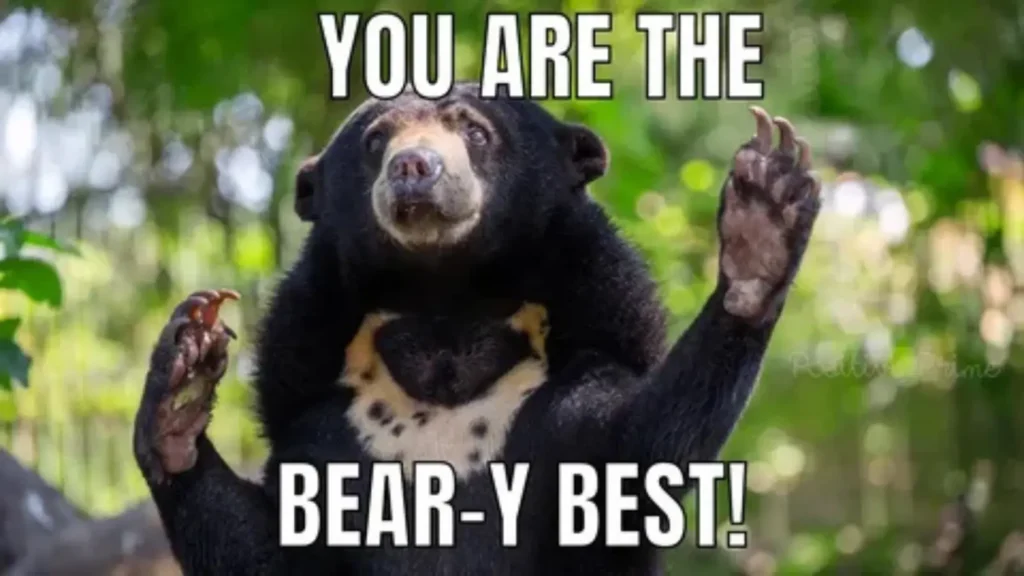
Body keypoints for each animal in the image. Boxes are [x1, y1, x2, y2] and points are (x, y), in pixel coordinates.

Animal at [132, 82, 820, 575]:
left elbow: (642, 446)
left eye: (475, 131)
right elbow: (268, 552)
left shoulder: (583, 372)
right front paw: (184, 371)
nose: (414, 166)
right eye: (376, 141)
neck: (448, 307)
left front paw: (765, 213)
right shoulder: (317, 422)